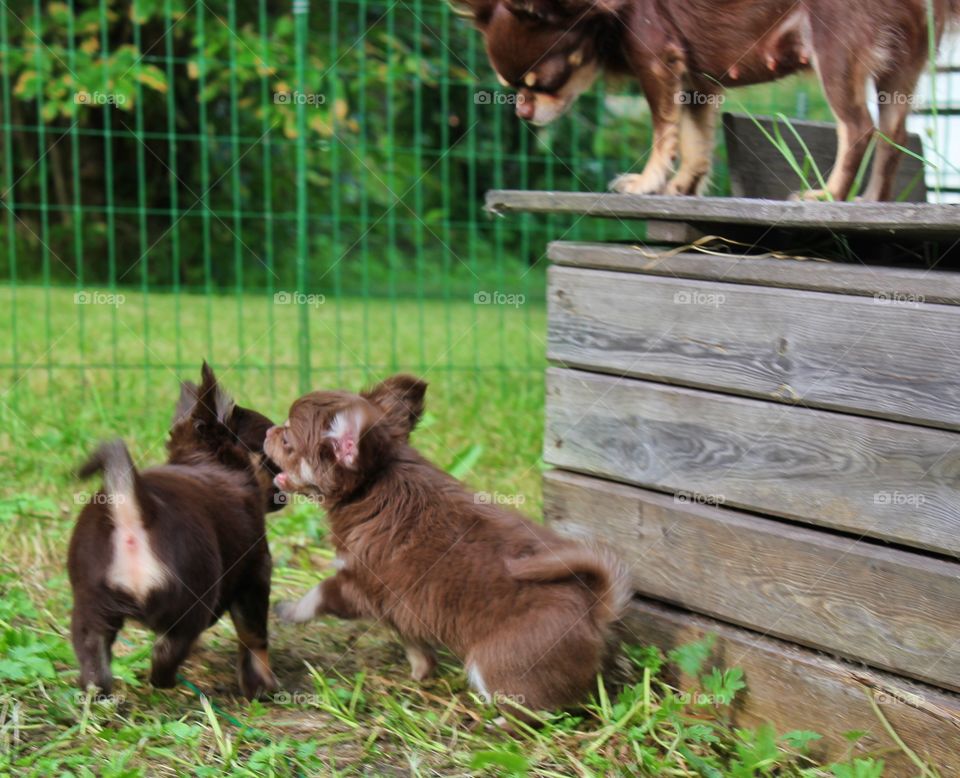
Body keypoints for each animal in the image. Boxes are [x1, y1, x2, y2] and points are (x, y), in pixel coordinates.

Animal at [69, 364, 280, 696]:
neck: (205, 460)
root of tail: (136, 509)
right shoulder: (256, 571)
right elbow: (254, 635)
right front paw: (261, 684)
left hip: (90, 604)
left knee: (93, 659)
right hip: (190, 601)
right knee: (168, 650)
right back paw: (166, 681)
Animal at [266, 372, 632, 712]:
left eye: (288, 440)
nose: (269, 431)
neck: (374, 481)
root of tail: (594, 611)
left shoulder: (358, 585)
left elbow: (317, 594)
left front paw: (288, 610)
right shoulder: (398, 604)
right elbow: (411, 640)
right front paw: (421, 671)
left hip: (494, 664)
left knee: (528, 712)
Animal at [460, 0, 960, 200]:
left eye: (543, 82)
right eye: (512, 86)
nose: (522, 109)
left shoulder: (657, 61)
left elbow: (664, 133)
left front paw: (648, 183)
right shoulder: (695, 79)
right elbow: (696, 139)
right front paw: (681, 186)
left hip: (835, 53)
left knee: (859, 127)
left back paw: (829, 195)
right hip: (900, 70)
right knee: (895, 134)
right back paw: (871, 199)